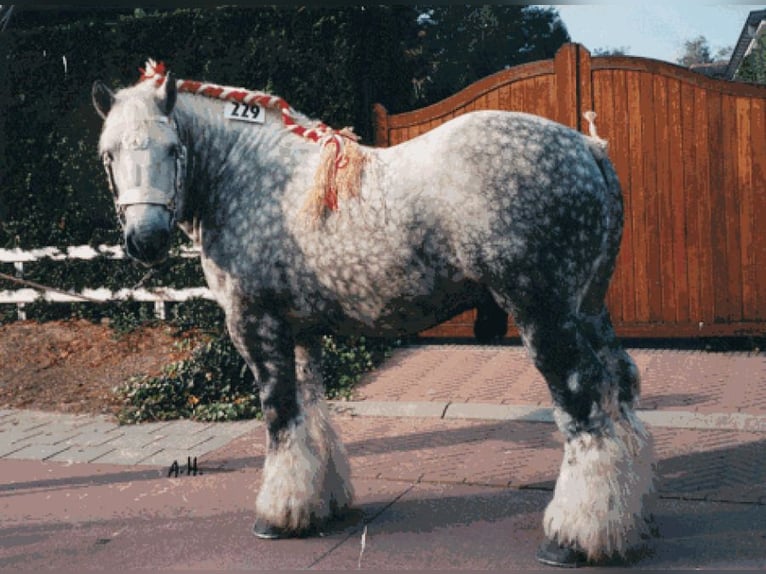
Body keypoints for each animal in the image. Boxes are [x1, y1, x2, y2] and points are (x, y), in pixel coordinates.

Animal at [93, 62, 656, 568]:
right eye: (108, 154)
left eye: (172, 147)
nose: (145, 240)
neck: (247, 174)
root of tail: (588, 149)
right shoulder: (301, 332)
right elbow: (311, 413)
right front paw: (319, 502)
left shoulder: (257, 327)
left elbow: (279, 415)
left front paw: (276, 515)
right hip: (588, 308)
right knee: (621, 387)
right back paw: (629, 516)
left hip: (545, 316)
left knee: (583, 406)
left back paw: (574, 538)